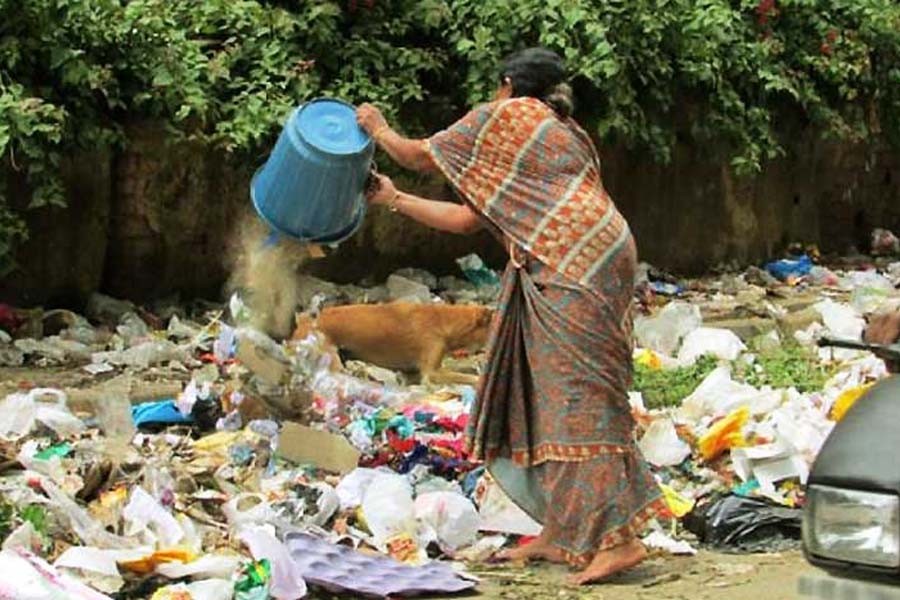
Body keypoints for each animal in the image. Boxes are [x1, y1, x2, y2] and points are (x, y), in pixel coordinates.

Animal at [294, 302, 492, 386]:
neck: (444, 321)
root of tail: (301, 323)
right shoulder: (432, 373)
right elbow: (465, 376)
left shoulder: (413, 372)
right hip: (333, 363)